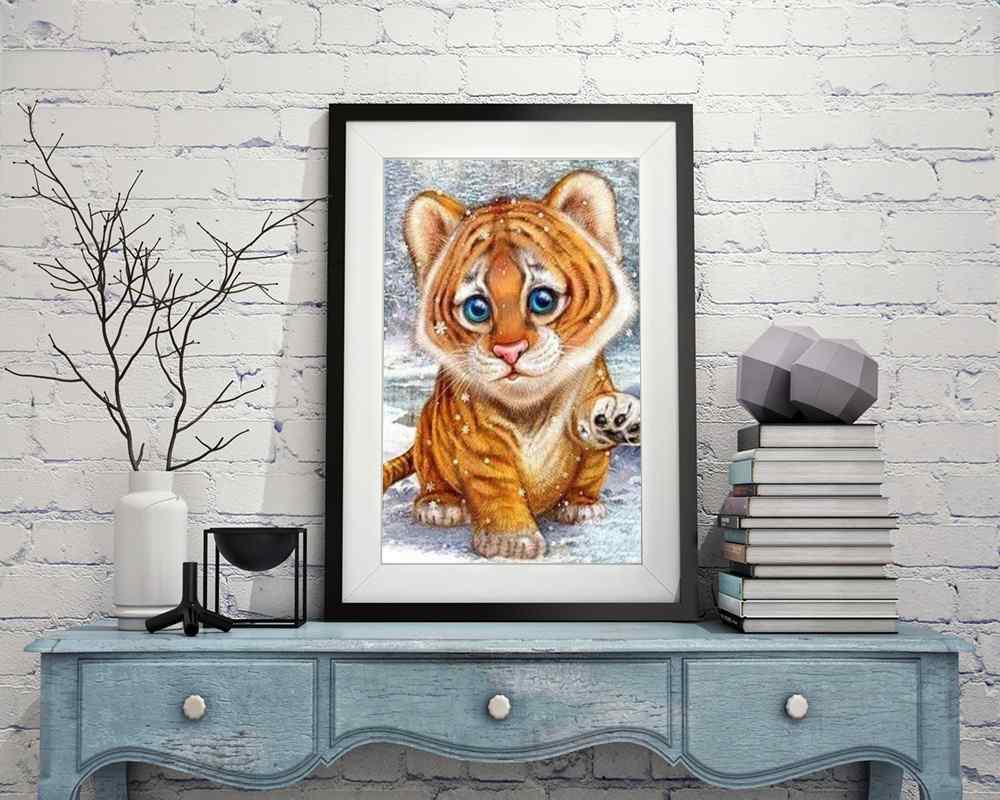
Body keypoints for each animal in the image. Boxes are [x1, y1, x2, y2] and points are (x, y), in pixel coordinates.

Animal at [382, 169, 640, 560]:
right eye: (477, 308)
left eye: (542, 300)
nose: (509, 352)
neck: (530, 406)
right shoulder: (476, 438)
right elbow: (495, 486)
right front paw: (511, 540)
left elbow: (587, 416)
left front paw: (612, 415)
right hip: (428, 433)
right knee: (432, 479)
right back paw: (439, 506)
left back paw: (582, 506)